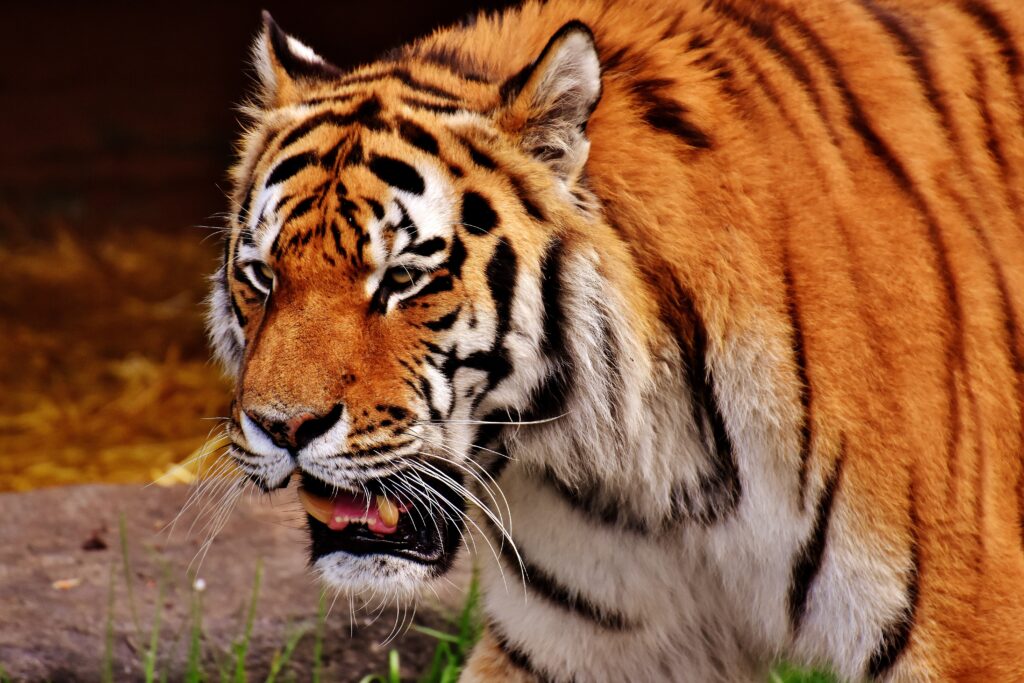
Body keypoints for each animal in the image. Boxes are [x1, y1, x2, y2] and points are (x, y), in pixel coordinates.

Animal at [206, 0, 1024, 680]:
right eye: (262, 276)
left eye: (404, 278)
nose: (283, 428)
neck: (650, 458)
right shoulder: (587, 642)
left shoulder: (971, 629)